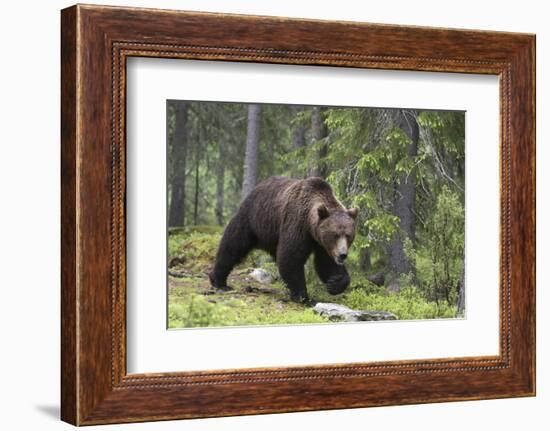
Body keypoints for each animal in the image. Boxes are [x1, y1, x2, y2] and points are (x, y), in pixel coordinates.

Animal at [209, 176, 360, 304]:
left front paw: (335, 282)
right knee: (233, 245)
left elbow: (326, 262)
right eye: (335, 234)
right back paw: (219, 281)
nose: (342, 254)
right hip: (253, 219)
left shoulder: (321, 242)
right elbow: (290, 257)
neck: (310, 226)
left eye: (348, 235)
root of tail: (257, 186)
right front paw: (304, 297)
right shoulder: (297, 224)